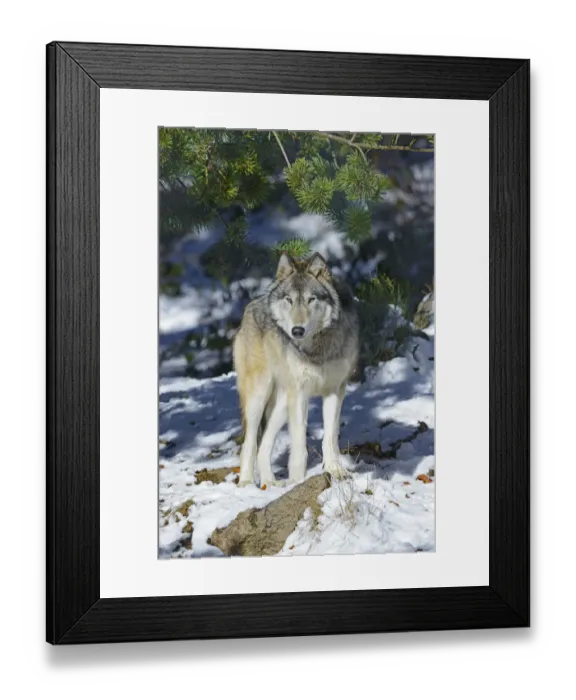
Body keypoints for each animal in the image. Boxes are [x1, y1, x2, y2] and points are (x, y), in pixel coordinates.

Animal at [233, 252, 360, 487]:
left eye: (311, 299)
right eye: (289, 300)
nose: (297, 331)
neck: (316, 349)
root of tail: (252, 304)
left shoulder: (335, 390)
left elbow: (330, 437)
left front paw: (335, 471)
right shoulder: (300, 394)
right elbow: (299, 444)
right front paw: (299, 480)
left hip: (282, 403)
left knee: (264, 445)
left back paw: (270, 484)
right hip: (259, 396)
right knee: (250, 443)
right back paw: (246, 484)